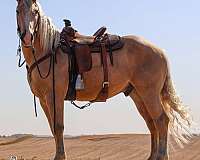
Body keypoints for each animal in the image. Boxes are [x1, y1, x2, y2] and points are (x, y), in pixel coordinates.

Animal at [15, 0, 192, 160]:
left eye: (35, 12)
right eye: (18, 10)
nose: (28, 37)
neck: (48, 51)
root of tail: (160, 52)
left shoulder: (55, 95)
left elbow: (58, 127)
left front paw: (60, 156)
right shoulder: (44, 99)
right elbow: (52, 128)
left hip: (150, 93)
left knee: (161, 120)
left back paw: (162, 155)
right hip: (138, 95)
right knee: (151, 122)